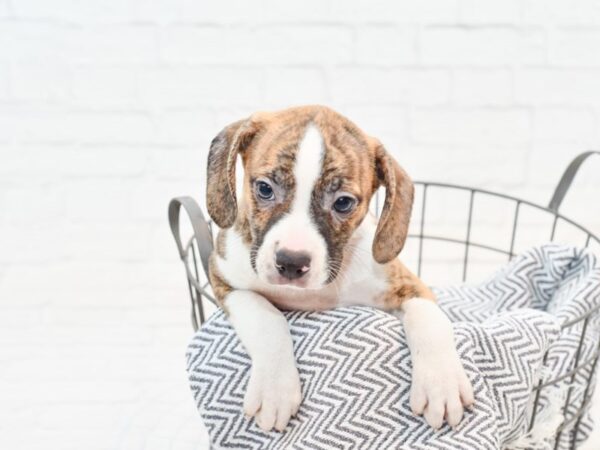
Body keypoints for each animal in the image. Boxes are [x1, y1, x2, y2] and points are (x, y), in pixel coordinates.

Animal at [206, 104, 474, 432]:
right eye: (265, 188)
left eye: (343, 203)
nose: (291, 262)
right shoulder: (225, 280)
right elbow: (266, 318)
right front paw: (274, 389)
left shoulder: (409, 285)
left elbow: (431, 319)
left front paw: (442, 384)